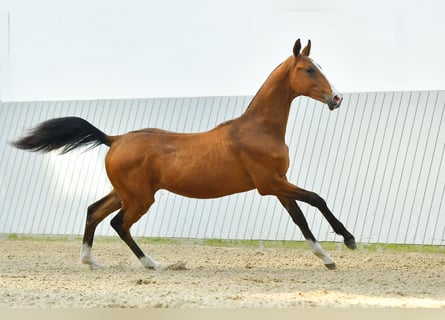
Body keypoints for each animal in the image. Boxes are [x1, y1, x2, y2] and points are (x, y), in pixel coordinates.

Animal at [12, 39, 356, 270]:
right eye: (308, 69)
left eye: (319, 68)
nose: (337, 98)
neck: (259, 129)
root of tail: (115, 139)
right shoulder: (270, 184)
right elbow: (317, 199)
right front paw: (348, 239)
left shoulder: (278, 184)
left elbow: (300, 218)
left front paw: (326, 258)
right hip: (140, 198)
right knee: (118, 224)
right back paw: (152, 263)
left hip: (125, 193)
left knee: (94, 212)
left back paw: (90, 261)